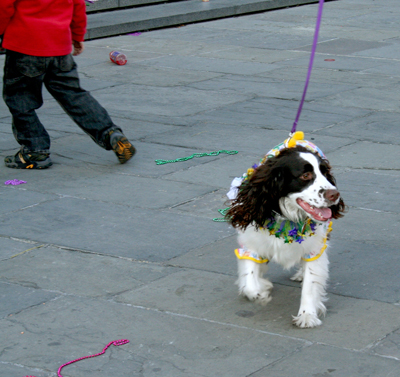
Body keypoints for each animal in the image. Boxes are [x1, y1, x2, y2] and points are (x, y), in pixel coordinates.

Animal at [227, 134, 346, 326]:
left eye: (325, 173)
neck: (287, 218)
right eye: (306, 175)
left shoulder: (315, 247)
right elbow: (250, 283)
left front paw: (307, 315)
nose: (335, 194)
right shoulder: (251, 245)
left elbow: (311, 283)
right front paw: (262, 290)